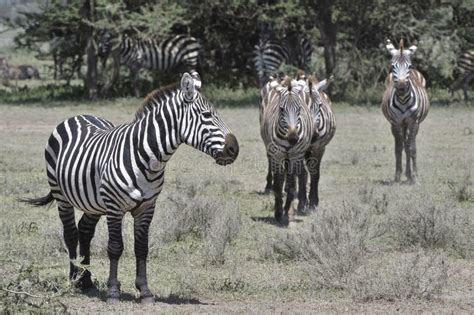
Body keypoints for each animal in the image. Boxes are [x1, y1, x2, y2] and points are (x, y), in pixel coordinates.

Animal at [20, 73, 239, 304]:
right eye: (207, 115)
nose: (234, 149)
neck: (148, 158)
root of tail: (77, 115)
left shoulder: (147, 207)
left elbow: (141, 248)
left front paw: (145, 291)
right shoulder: (114, 207)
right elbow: (115, 247)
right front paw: (113, 291)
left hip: (94, 202)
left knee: (85, 231)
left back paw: (85, 278)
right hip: (62, 195)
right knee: (70, 233)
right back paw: (74, 278)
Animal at [260, 76, 314, 225]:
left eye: (299, 109)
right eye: (281, 109)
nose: (293, 138)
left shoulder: (295, 156)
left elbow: (291, 186)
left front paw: (286, 212)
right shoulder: (278, 155)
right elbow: (278, 184)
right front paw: (278, 213)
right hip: (273, 150)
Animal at [296, 74, 336, 212]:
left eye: (319, 106)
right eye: (302, 108)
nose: (313, 136)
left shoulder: (320, 148)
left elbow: (315, 173)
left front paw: (313, 202)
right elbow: (302, 173)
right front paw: (302, 203)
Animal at [382, 39, 430, 185]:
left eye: (409, 66)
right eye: (393, 66)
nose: (402, 88)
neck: (403, 100)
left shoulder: (413, 122)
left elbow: (411, 149)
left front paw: (414, 177)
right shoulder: (396, 123)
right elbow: (398, 149)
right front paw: (397, 176)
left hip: (413, 124)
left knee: (409, 144)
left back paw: (410, 175)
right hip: (400, 124)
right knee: (404, 143)